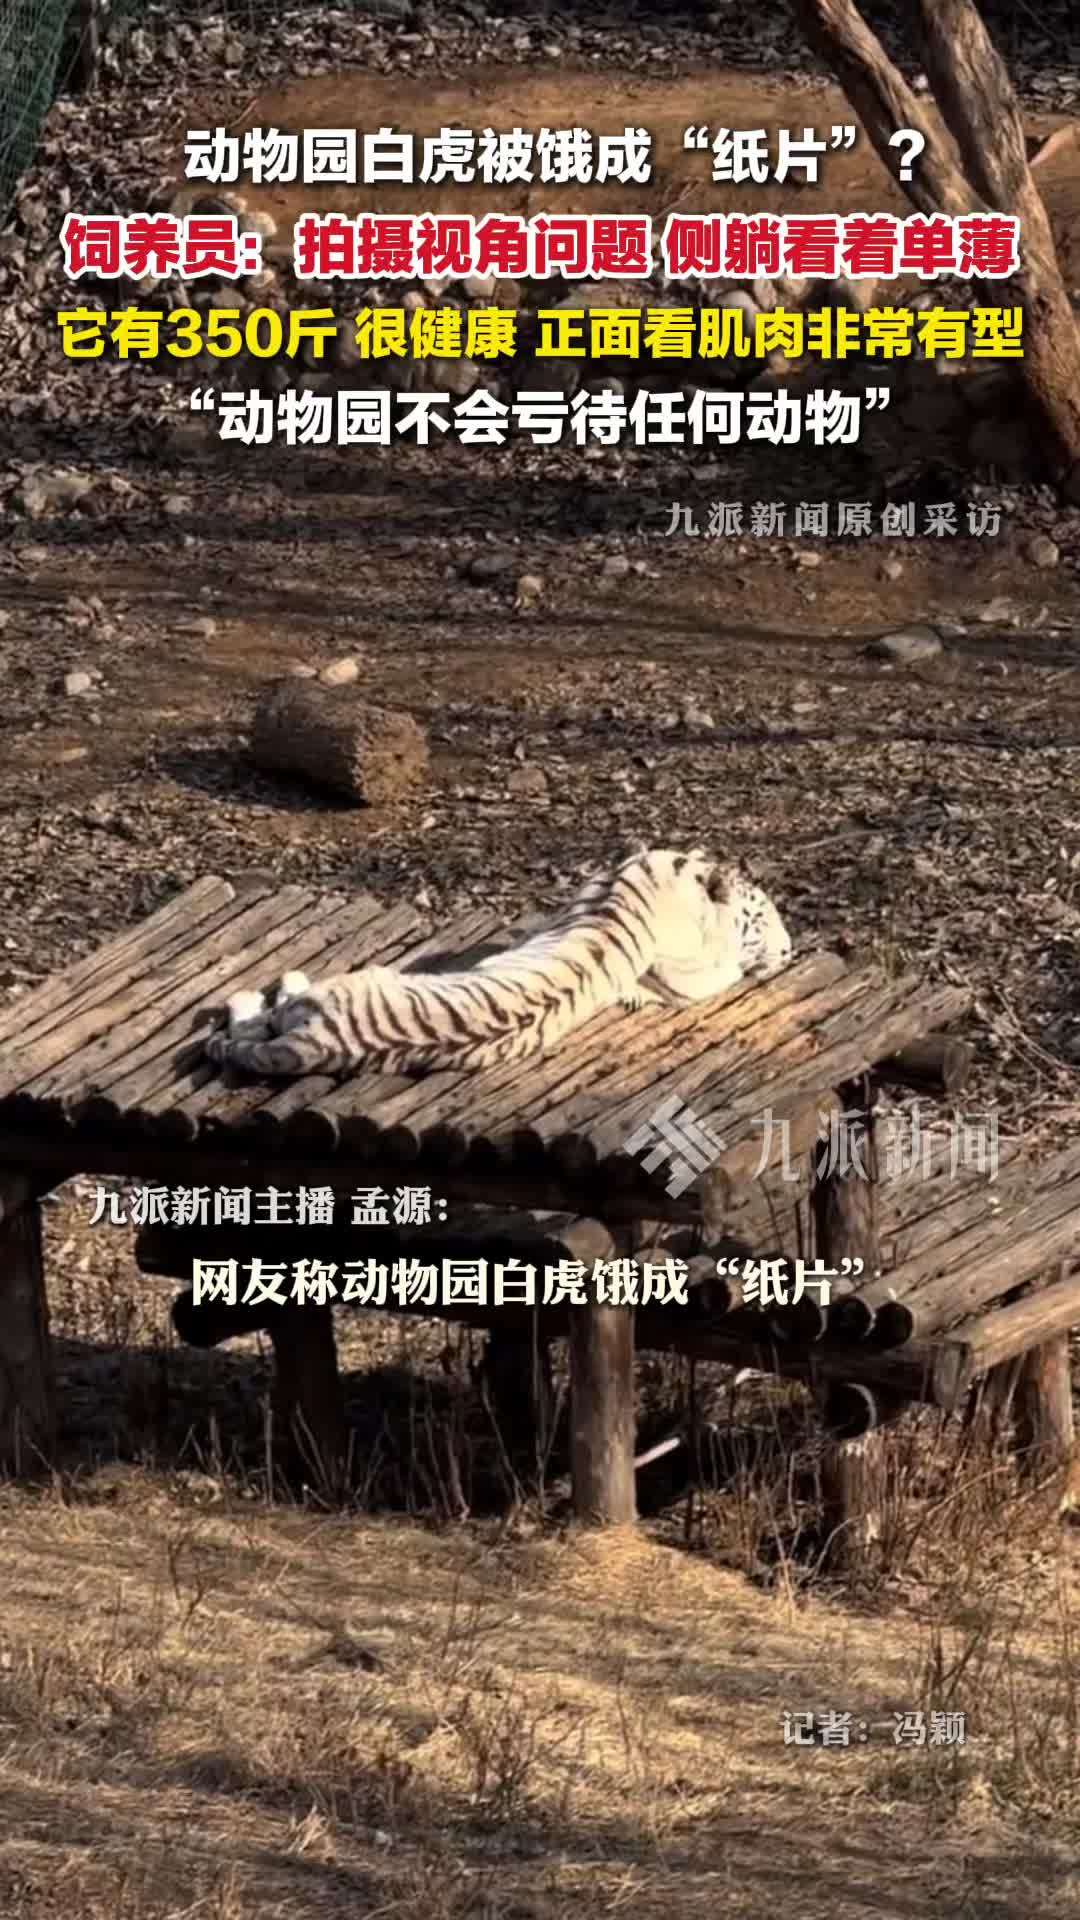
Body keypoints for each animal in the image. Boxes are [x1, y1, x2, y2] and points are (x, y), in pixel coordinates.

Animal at [204, 847, 792, 1080]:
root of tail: (318, 1043)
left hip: (337, 990)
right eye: (764, 912)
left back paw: (258, 991)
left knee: (258, 1017)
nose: (789, 950)